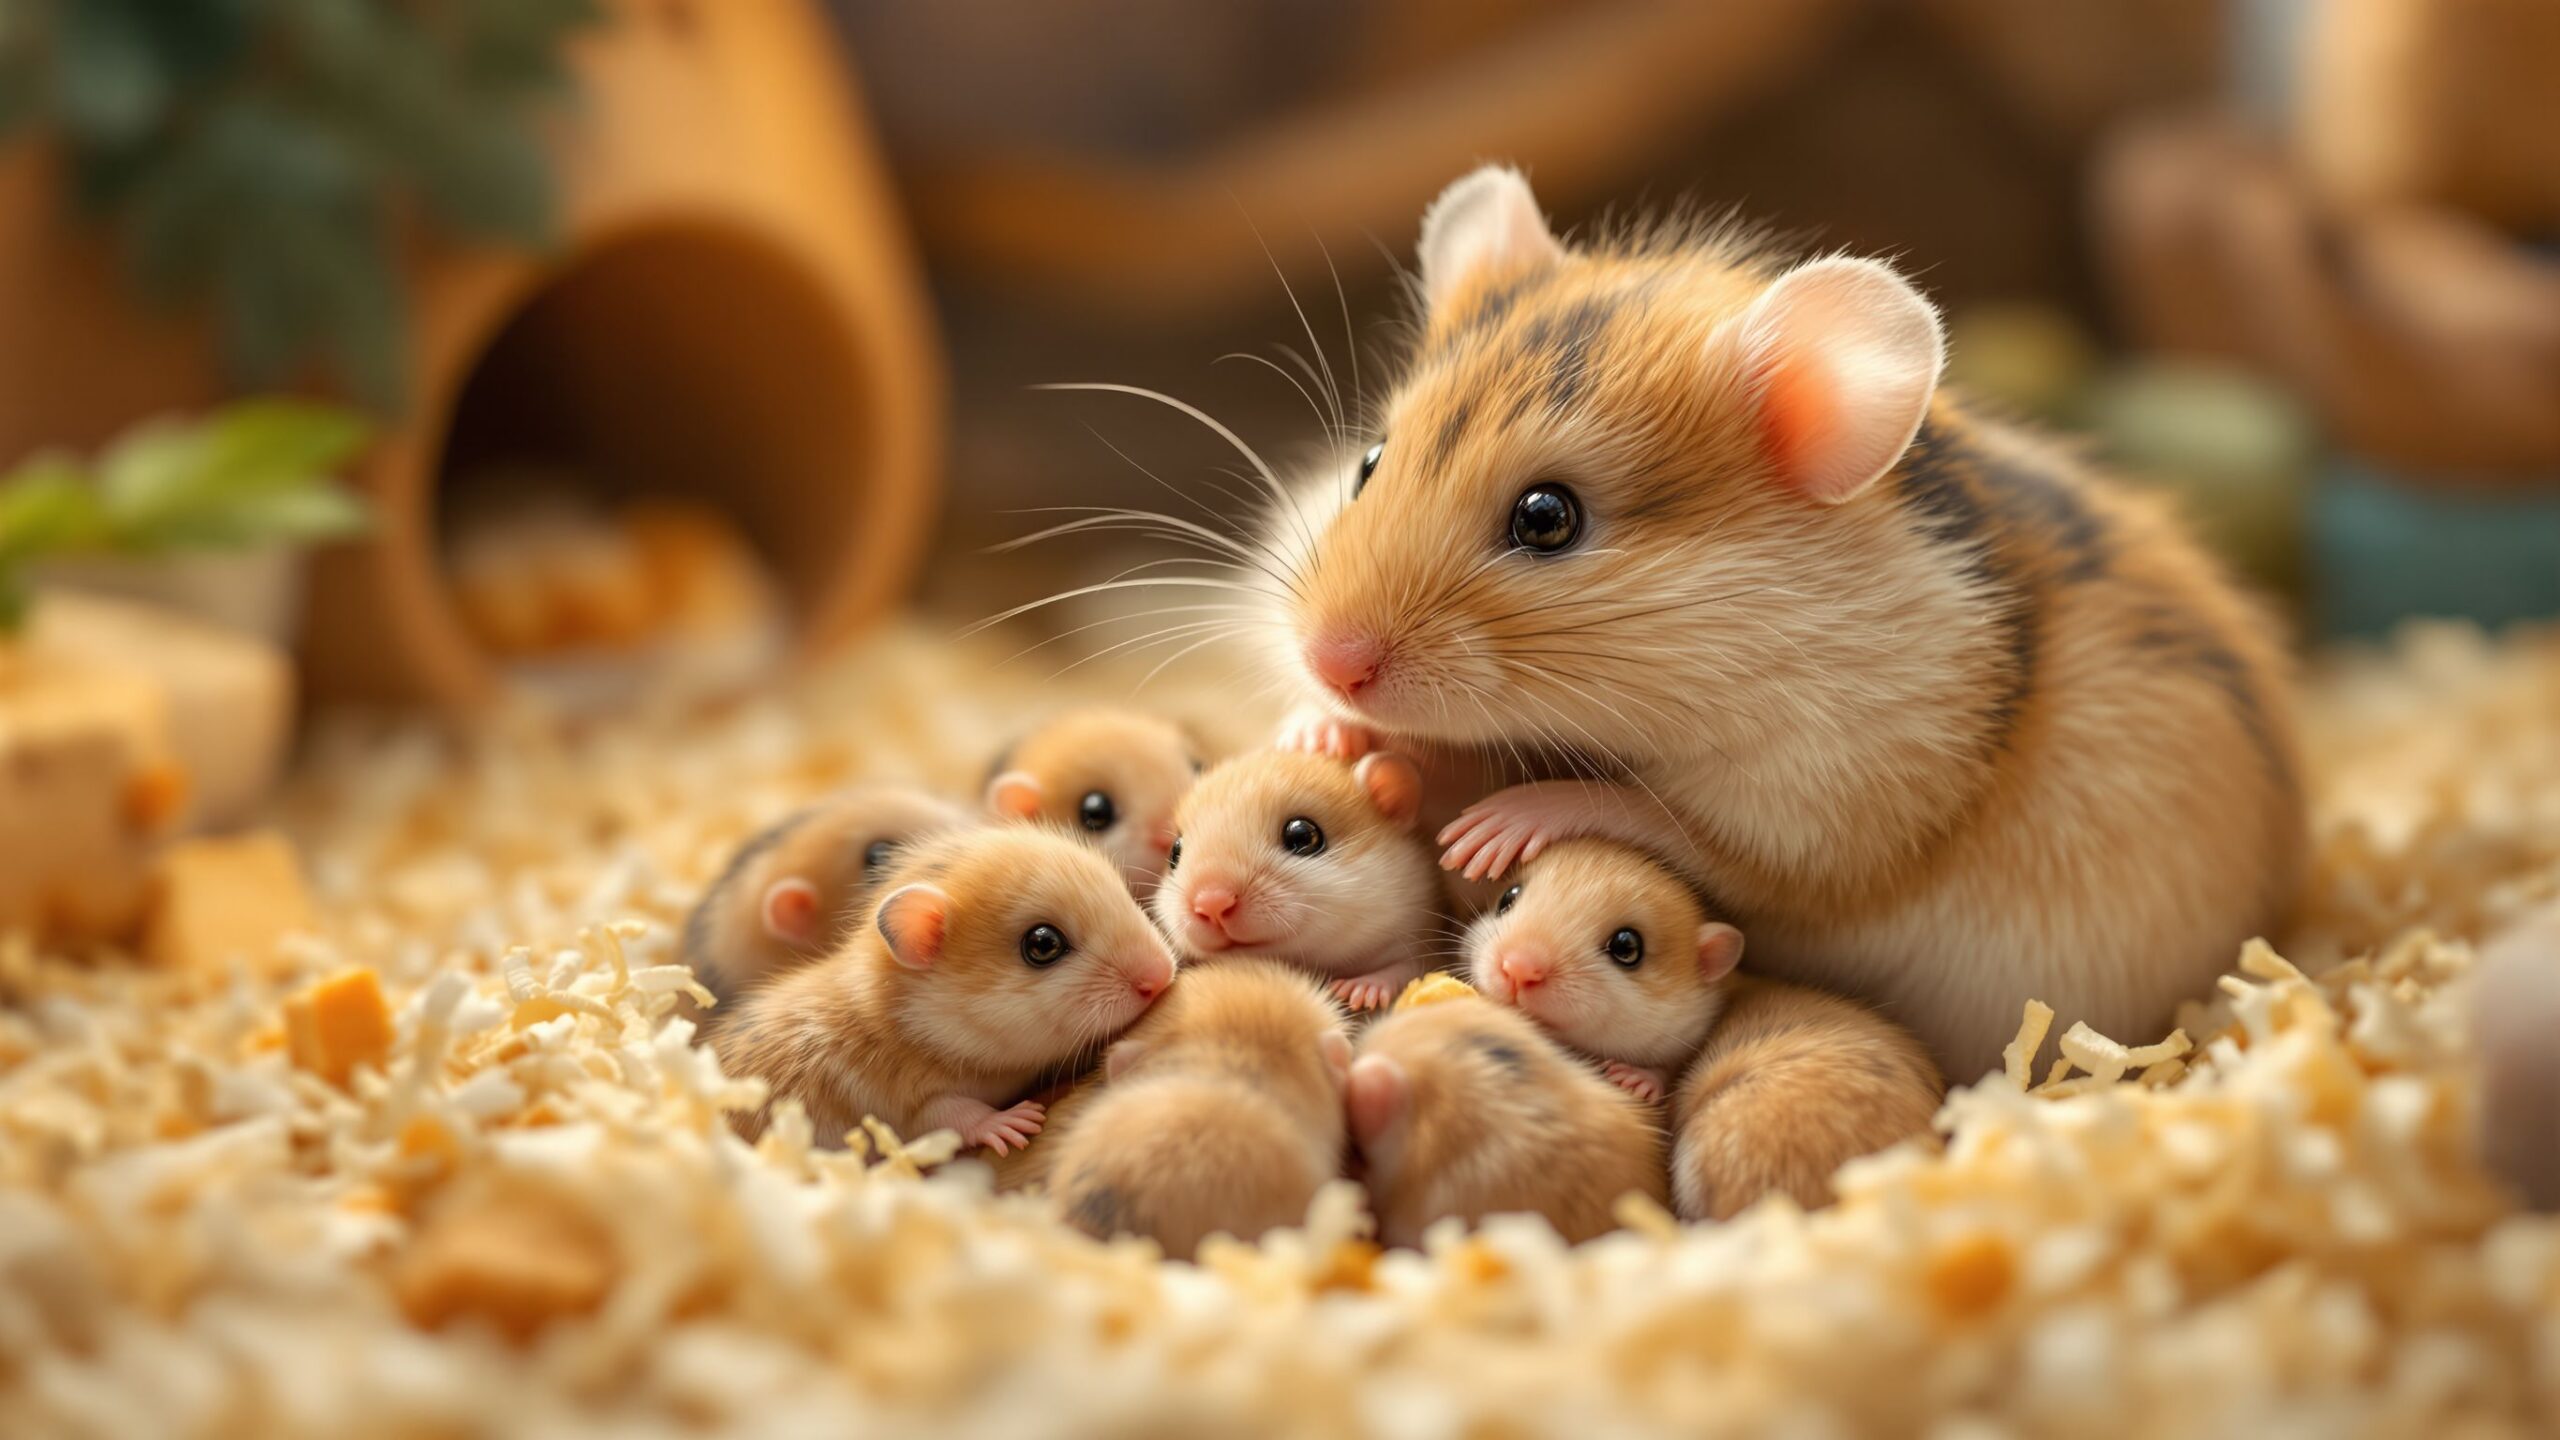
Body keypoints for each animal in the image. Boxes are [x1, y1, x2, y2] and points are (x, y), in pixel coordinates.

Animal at [717, 827, 1176, 1154]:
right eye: (1043, 944)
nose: (1161, 976)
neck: (914, 1027)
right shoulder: (911, 1102)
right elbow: (953, 1115)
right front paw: (1013, 1123)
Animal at [1152, 748, 1444, 1011]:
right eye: (1175, 852)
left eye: (1303, 836)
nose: (1210, 904)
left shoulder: (1421, 944)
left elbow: (1406, 970)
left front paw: (1359, 989)